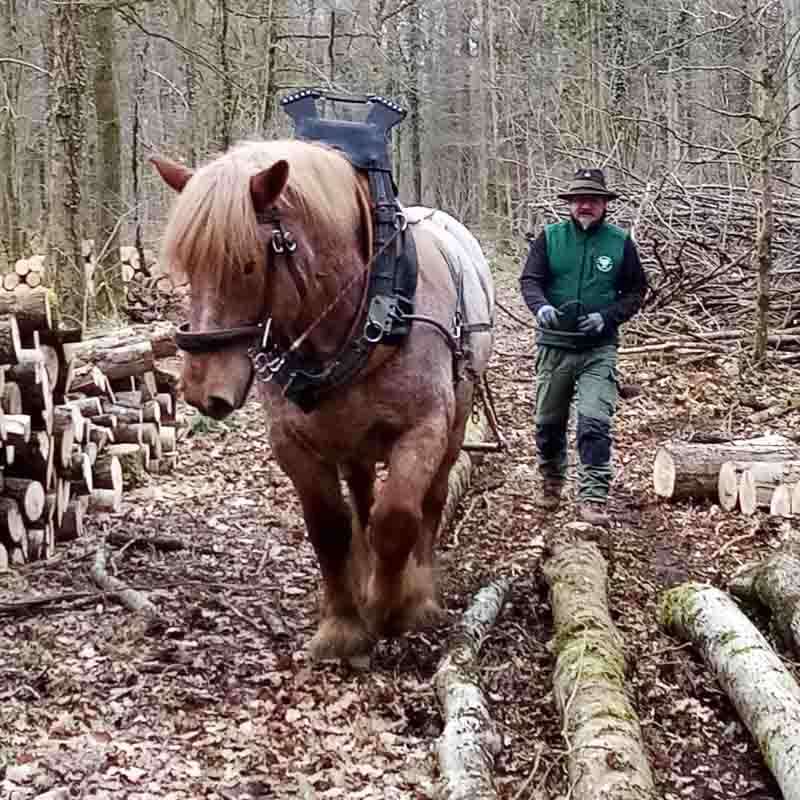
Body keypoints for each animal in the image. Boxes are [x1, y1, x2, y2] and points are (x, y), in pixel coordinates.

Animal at [152, 134, 494, 660]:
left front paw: (392, 607)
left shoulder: (425, 428)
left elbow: (398, 518)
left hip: (456, 418)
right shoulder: (293, 441)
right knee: (362, 494)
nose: (200, 389)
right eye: (189, 267)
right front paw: (344, 624)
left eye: (246, 265)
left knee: (432, 500)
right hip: (351, 439)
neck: (370, 312)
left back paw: (417, 589)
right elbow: (329, 528)